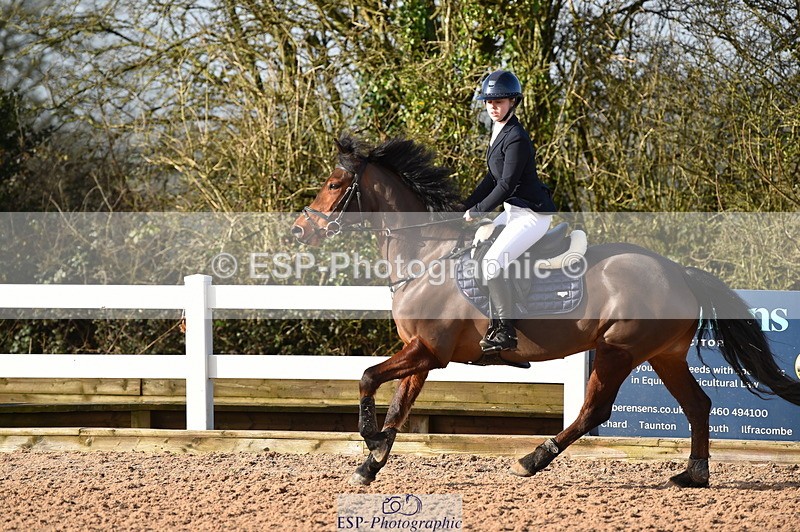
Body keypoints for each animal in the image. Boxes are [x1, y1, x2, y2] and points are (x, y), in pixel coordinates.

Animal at [291, 134, 800, 487]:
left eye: (334, 184)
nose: (300, 231)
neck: (427, 255)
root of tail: (677, 271)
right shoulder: (421, 353)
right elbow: (398, 405)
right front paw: (371, 464)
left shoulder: (429, 352)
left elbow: (367, 378)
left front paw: (369, 439)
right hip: (663, 354)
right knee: (698, 404)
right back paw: (694, 474)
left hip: (619, 349)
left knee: (595, 410)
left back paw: (532, 459)